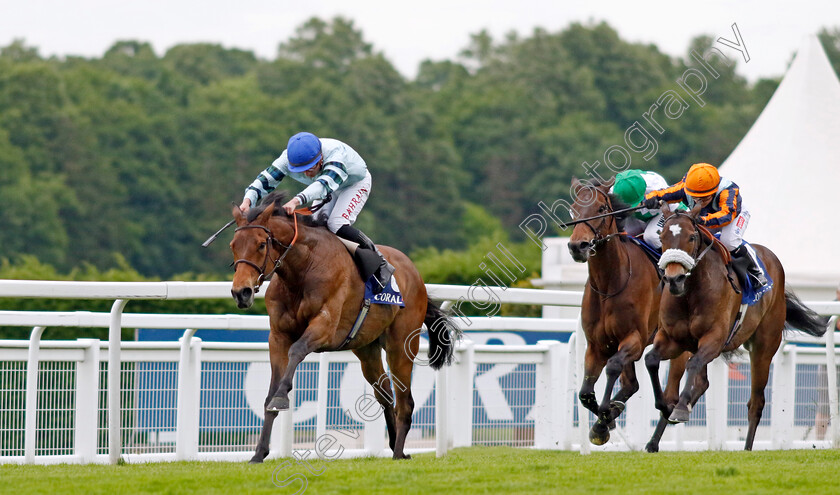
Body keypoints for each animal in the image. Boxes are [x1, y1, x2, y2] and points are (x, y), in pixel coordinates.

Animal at [228, 192, 460, 464]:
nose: (241, 292)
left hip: (401, 346)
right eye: (233, 245)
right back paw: (395, 447)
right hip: (367, 350)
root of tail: (415, 274)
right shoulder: (277, 336)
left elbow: (297, 351)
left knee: (405, 402)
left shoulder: (325, 326)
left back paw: (398, 453)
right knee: (385, 394)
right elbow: (269, 393)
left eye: (261, 245)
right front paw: (258, 453)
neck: (302, 269)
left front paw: (282, 397)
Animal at [564, 178, 688, 446]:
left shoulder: (635, 339)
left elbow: (612, 367)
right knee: (631, 384)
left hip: (681, 346)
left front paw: (605, 418)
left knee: (671, 395)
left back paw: (654, 438)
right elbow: (585, 393)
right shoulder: (596, 345)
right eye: (573, 210)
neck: (609, 284)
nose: (577, 246)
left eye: (601, 208)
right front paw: (604, 421)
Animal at [648, 203, 824, 452]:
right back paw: (656, 437)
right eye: (662, 236)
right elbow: (651, 361)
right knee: (701, 382)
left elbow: (692, 365)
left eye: (691, 237)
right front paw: (666, 406)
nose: (674, 279)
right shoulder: (673, 339)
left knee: (756, 402)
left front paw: (679, 409)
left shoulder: (714, 338)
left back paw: (747, 448)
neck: (690, 294)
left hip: (763, 348)